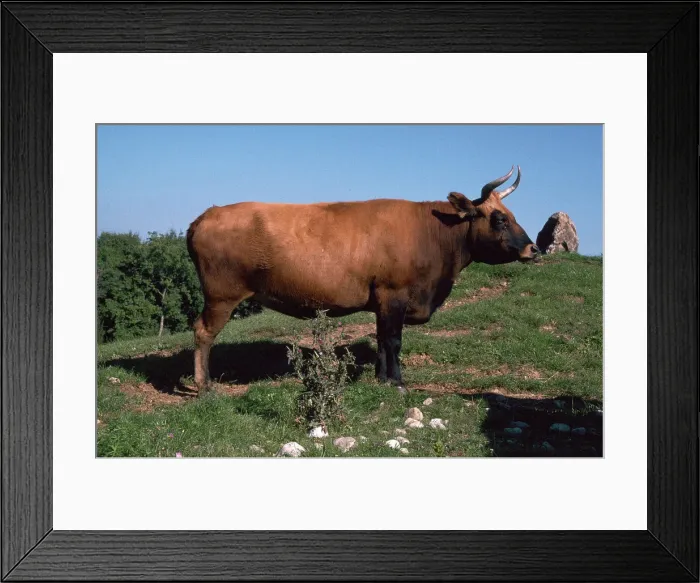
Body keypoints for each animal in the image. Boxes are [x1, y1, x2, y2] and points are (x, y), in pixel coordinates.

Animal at [186, 165, 539, 395]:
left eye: (512, 215)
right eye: (499, 218)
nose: (533, 249)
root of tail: (206, 215)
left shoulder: (382, 302)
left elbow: (382, 340)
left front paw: (382, 378)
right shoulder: (394, 294)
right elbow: (393, 340)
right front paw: (397, 382)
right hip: (221, 295)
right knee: (203, 332)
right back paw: (204, 386)